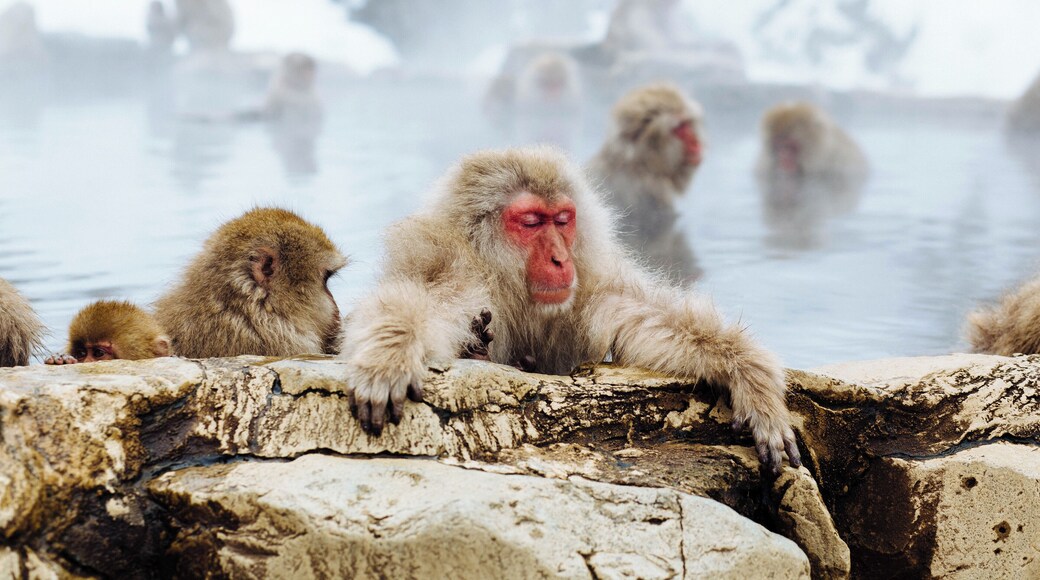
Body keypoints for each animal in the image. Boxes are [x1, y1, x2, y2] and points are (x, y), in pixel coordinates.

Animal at [340, 146, 801, 475]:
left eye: (562, 219)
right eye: (531, 222)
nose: (561, 259)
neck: (506, 281)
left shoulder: (588, 285)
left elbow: (644, 320)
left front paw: (749, 376)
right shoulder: (452, 267)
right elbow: (419, 303)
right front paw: (389, 355)